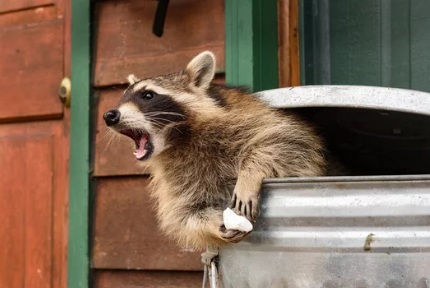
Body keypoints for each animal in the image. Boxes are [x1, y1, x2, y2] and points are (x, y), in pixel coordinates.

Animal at [104, 50, 330, 249]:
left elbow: (287, 141)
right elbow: (186, 212)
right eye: (123, 97)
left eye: (148, 95)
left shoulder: (251, 118)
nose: (109, 115)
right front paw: (213, 223)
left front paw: (250, 172)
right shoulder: (178, 177)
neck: (178, 139)